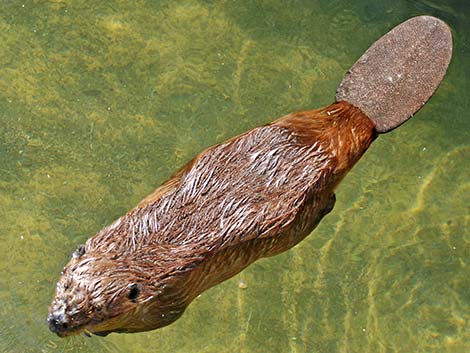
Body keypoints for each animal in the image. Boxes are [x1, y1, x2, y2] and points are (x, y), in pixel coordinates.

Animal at [46, 16, 452, 336]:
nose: (57, 322)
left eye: (95, 310)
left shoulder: (171, 295)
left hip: (299, 218)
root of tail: (360, 113)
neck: (137, 253)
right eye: (64, 286)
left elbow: (160, 319)